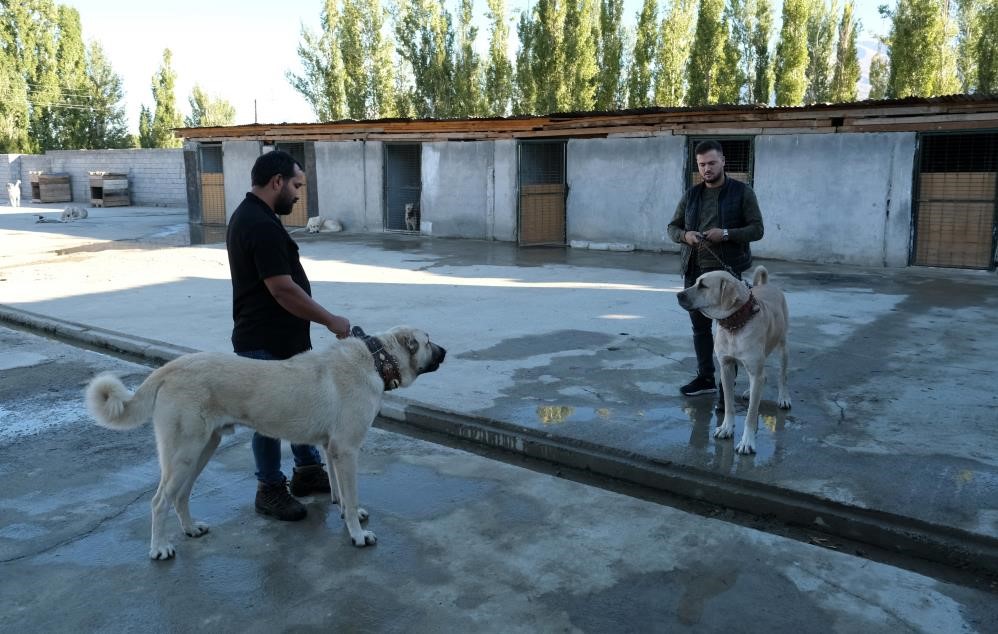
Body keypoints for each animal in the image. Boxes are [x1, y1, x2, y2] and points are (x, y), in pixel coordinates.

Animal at [86, 326, 446, 556]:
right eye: (428, 342)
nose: (446, 350)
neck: (376, 359)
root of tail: (171, 368)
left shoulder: (332, 450)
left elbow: (342, 494)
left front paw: (349, 514)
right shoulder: (346, 450)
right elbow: (351, 493)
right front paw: (357, 535)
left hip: (202, 449)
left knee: (180, 495)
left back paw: (190, 529)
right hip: (184, 453)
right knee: (159, 500)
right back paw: (159, 548)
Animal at [676, 266, 792, 454]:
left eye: (703, 285)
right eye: (695, 281)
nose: (678, 295)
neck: (735, 325)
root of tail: (767, 285)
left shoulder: (753, 368)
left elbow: (751, 414)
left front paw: (747, 442)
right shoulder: (726, 367)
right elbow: (729, 404)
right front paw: (726, 428)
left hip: (782, 347)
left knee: (782, 376)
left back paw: (783, 397)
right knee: (763, 376)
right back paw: (750, 391)